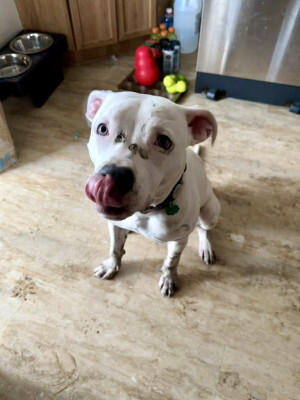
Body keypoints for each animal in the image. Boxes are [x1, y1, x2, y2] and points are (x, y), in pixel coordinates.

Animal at [85, 91, 220, 296]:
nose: (114, 176)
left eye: (164, 141)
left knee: (202, 229)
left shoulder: (179, 240)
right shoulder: (114, 225)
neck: (146, 212)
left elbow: (172, 261)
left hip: (210, 213)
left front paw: (169, 278)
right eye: (102, 129)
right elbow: (115, 248)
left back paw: (205, 246)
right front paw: (111, 265)